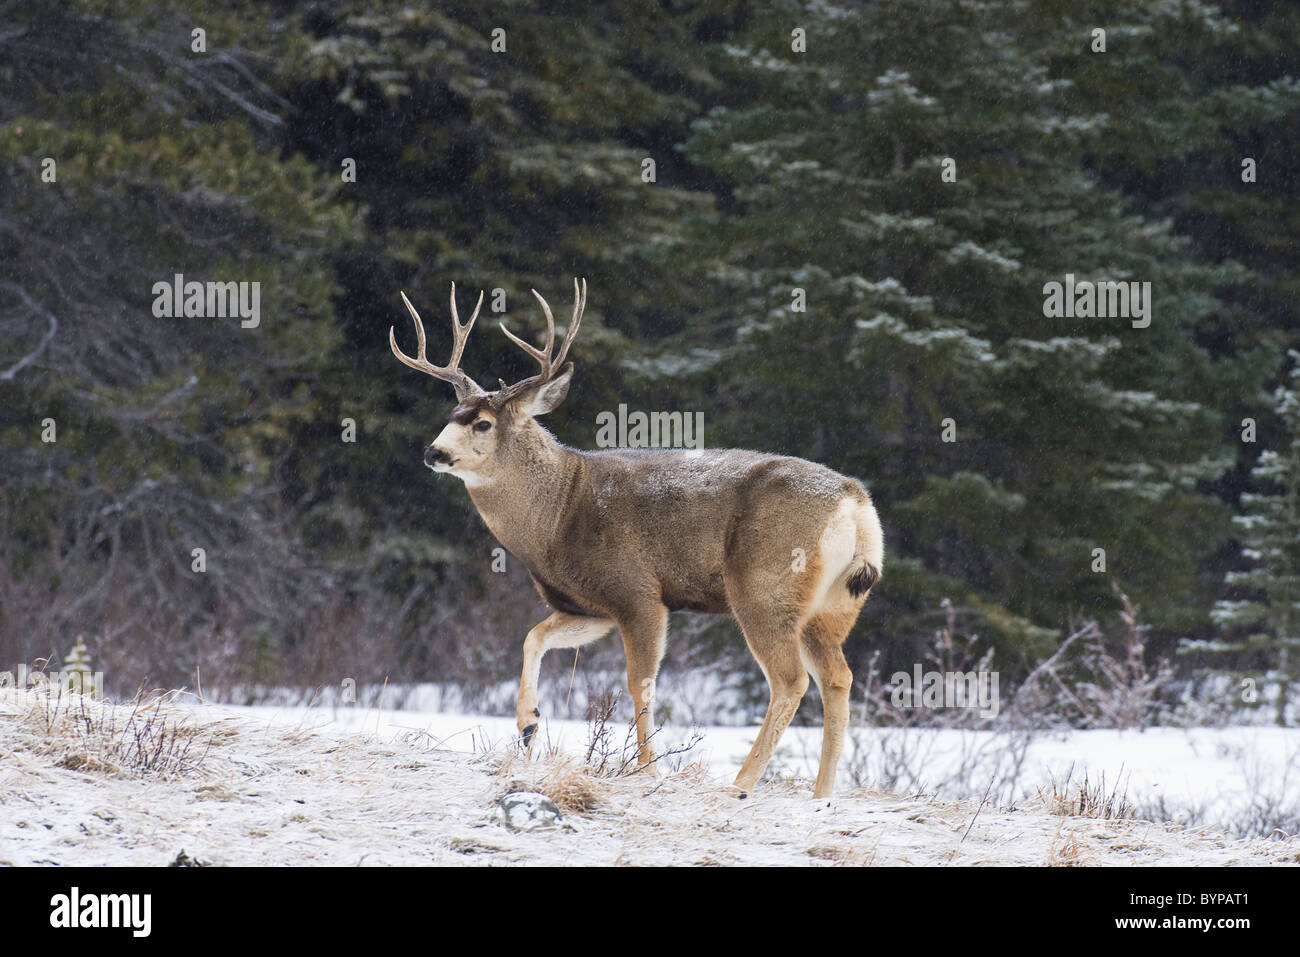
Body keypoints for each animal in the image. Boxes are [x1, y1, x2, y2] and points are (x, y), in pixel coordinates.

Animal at [389, 278, 883, 798]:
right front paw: (528, 724)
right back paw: (822, 795)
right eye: (453, 413)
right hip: (833, 605)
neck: (559, 512)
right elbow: (532, 636)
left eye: (483, 423)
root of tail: (854, 502)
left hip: (765, 586)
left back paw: (741, 784)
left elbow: (639, 683)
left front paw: (647, 769)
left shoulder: (637, 591)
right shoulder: (589, 606)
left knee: (791, 681)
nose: (432, 452)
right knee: (838, 678)